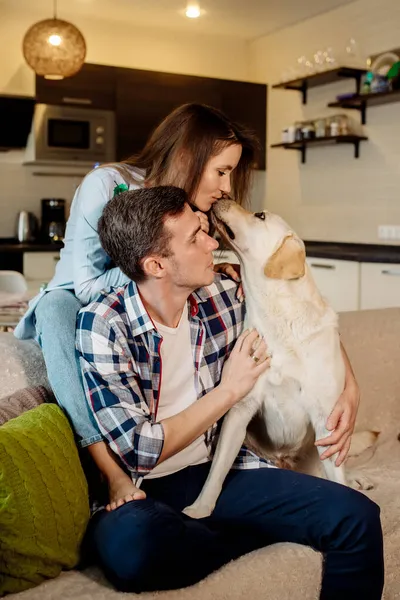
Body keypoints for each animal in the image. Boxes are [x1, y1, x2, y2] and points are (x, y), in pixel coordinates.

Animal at [183, 200, 374, 520]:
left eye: (259, 215)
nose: (222, 197)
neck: (279, 320)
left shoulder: (327, 421)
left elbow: (338, 478)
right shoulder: (240, 409)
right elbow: (217, 470)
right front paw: (200, 508)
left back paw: (358, 479)